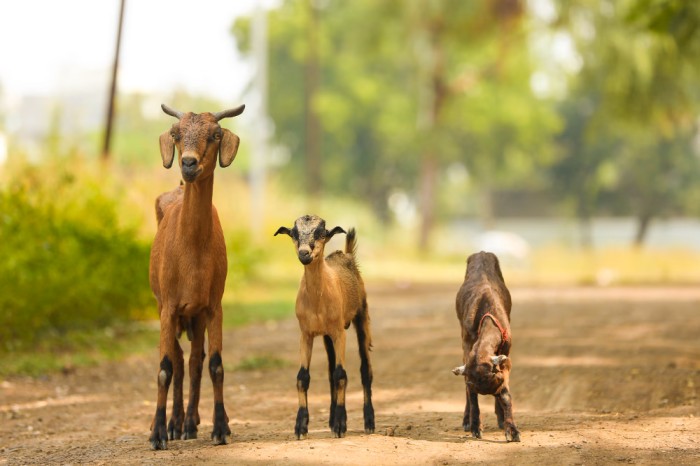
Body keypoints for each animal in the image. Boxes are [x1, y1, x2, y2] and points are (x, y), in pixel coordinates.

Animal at [148, 103, 244, 450]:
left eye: (215, 135)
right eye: (176, 134)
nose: (188, 164)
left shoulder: (213, 306)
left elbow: (215, 365)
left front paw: (220, 428)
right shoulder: (168, 307)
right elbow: (165, 368)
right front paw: (158, 434)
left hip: (197, 314)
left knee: (194, 360)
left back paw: (190, 422)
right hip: (169, 309)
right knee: (178, 361)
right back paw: (174, 423)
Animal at [275, 215, 375, 439]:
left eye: (321, 233)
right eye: (294, 234)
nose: (304, 253)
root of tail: (346, 254)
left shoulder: (339, 332)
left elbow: (341, 375)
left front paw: (340, 426)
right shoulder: (306, 333)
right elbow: (303, 377)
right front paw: (301, 427)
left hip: (361, 316)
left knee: (365, 370)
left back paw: (369, 422)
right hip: (327, 336)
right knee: (330, 371)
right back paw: (332, 419)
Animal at [452, 251, 520, 442]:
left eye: (497, 384)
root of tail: (481, 252)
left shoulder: (506, 356)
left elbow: (506, 397)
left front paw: (510, 428)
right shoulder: (467, 348)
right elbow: (470, 395)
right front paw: (474, 425)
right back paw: (467, 420)